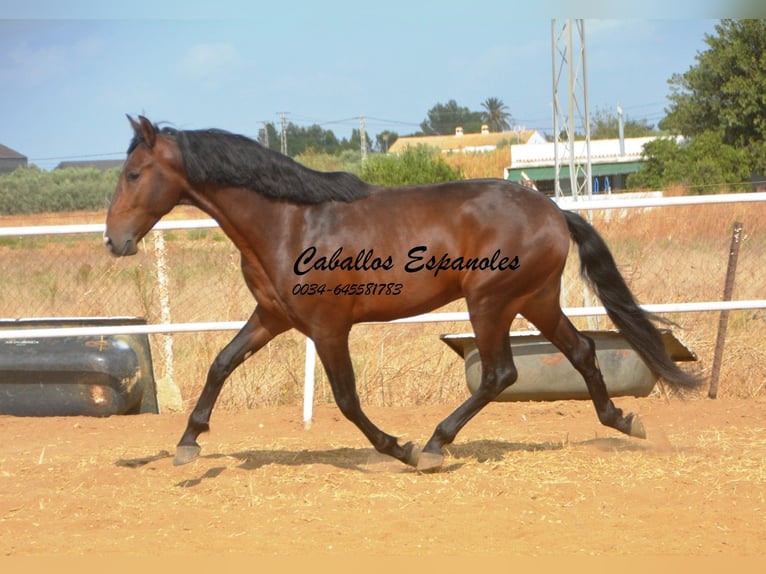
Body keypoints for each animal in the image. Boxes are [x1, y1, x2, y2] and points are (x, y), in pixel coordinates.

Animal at [106, 116, 704, 472]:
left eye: (134, 174)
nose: (114, 241)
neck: (289, 222)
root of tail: (554, 208)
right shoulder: (272, 316)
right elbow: (221, 363)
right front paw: (188, 442)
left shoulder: (327, 328)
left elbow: (347, 399)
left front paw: (400, 448)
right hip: (536, 301)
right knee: (581, 351)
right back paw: (622, 421)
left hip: (490, 302)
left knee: (500, 374)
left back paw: (436, 445)